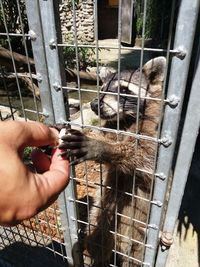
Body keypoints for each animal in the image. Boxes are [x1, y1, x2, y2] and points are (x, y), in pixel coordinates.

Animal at [59, 57, 166, 266]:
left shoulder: (154, 127)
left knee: (138, 255)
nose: (95, 105)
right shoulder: (111, 126)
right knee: (96, 238)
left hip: (141, 235)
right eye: (102, 88)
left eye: (124, 90)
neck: (126, 118)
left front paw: (103, 147)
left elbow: (143, 155)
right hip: (103, 212)